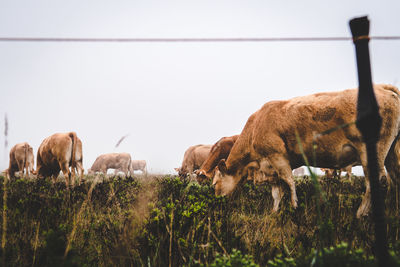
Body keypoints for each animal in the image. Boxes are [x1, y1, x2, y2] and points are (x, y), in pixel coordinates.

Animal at [214, 85, 400, 219]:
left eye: (215, 183)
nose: (217, 202)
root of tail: (384, 88)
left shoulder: (278, 157)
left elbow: (289, 183)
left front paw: (294, 207)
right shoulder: (271, 167)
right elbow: (276, 193)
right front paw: (274, 212)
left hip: (371, 151)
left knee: (376, 181)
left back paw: (361, 213)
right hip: (390, 153)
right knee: (394, 177)